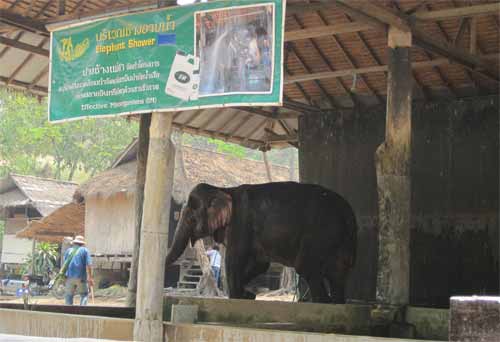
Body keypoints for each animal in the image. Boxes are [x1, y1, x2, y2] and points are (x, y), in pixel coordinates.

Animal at [166, 180, 358, 304]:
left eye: (191, 216)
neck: (224, 190)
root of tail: (348, 213)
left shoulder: (240, 221)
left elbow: (234, 259)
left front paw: (236, 297)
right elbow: (260, 265)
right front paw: (248, 295)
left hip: (320, 232)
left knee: (307, 266)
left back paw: (322, 301)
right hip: (340, 240)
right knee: (337, 271)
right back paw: (337, 302)